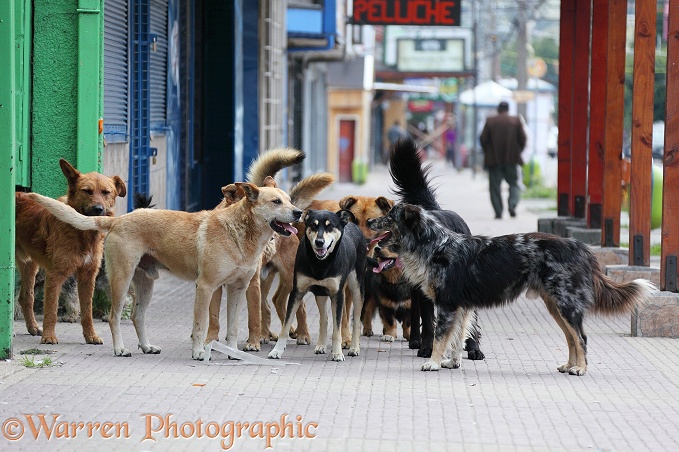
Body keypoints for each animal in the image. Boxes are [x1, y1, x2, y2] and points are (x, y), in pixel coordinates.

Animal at [15, 159, 127, 342]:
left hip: (29, 265)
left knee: (26, 296)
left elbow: (87, 311)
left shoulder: (88, 276)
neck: (82, 232)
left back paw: (33, 327)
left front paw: (91, 336)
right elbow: (51, 310)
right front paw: (49, 337)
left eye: (106, 192)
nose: (98, 209)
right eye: (87, 191)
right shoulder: (55, 275)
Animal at [270, 210, 366, 362]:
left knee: (356, 321)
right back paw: (321, 346)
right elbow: (285, 326)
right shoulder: (297, 292)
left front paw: (337, 353)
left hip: (357, 287)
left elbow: (337, 330)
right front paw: (277, 351)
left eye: (329, 226)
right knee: (324, 319)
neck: (320, 263)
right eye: (313, 226)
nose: (319, 242)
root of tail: (352, 224)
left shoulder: (337, 295)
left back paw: (354, 348)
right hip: (320, 293)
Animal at [370, 204, 656, 374]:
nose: (371, 221)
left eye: (390, 216)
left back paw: (580, 369)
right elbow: (457, 339)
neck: (434, 245)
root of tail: (581, 248)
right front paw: (452, 362)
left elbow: (441, 338)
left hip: (566, 304)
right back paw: (569, 365)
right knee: (571, 338)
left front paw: (433, 362)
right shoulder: (461, 307)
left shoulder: (447, 304)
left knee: (581, 338)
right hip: (557, 307)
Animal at [388, 138, 484, 360]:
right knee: (416, 313)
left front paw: (474, 347)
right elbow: (428, 322)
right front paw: (427, 347)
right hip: (416, 287)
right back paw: (416, 340)